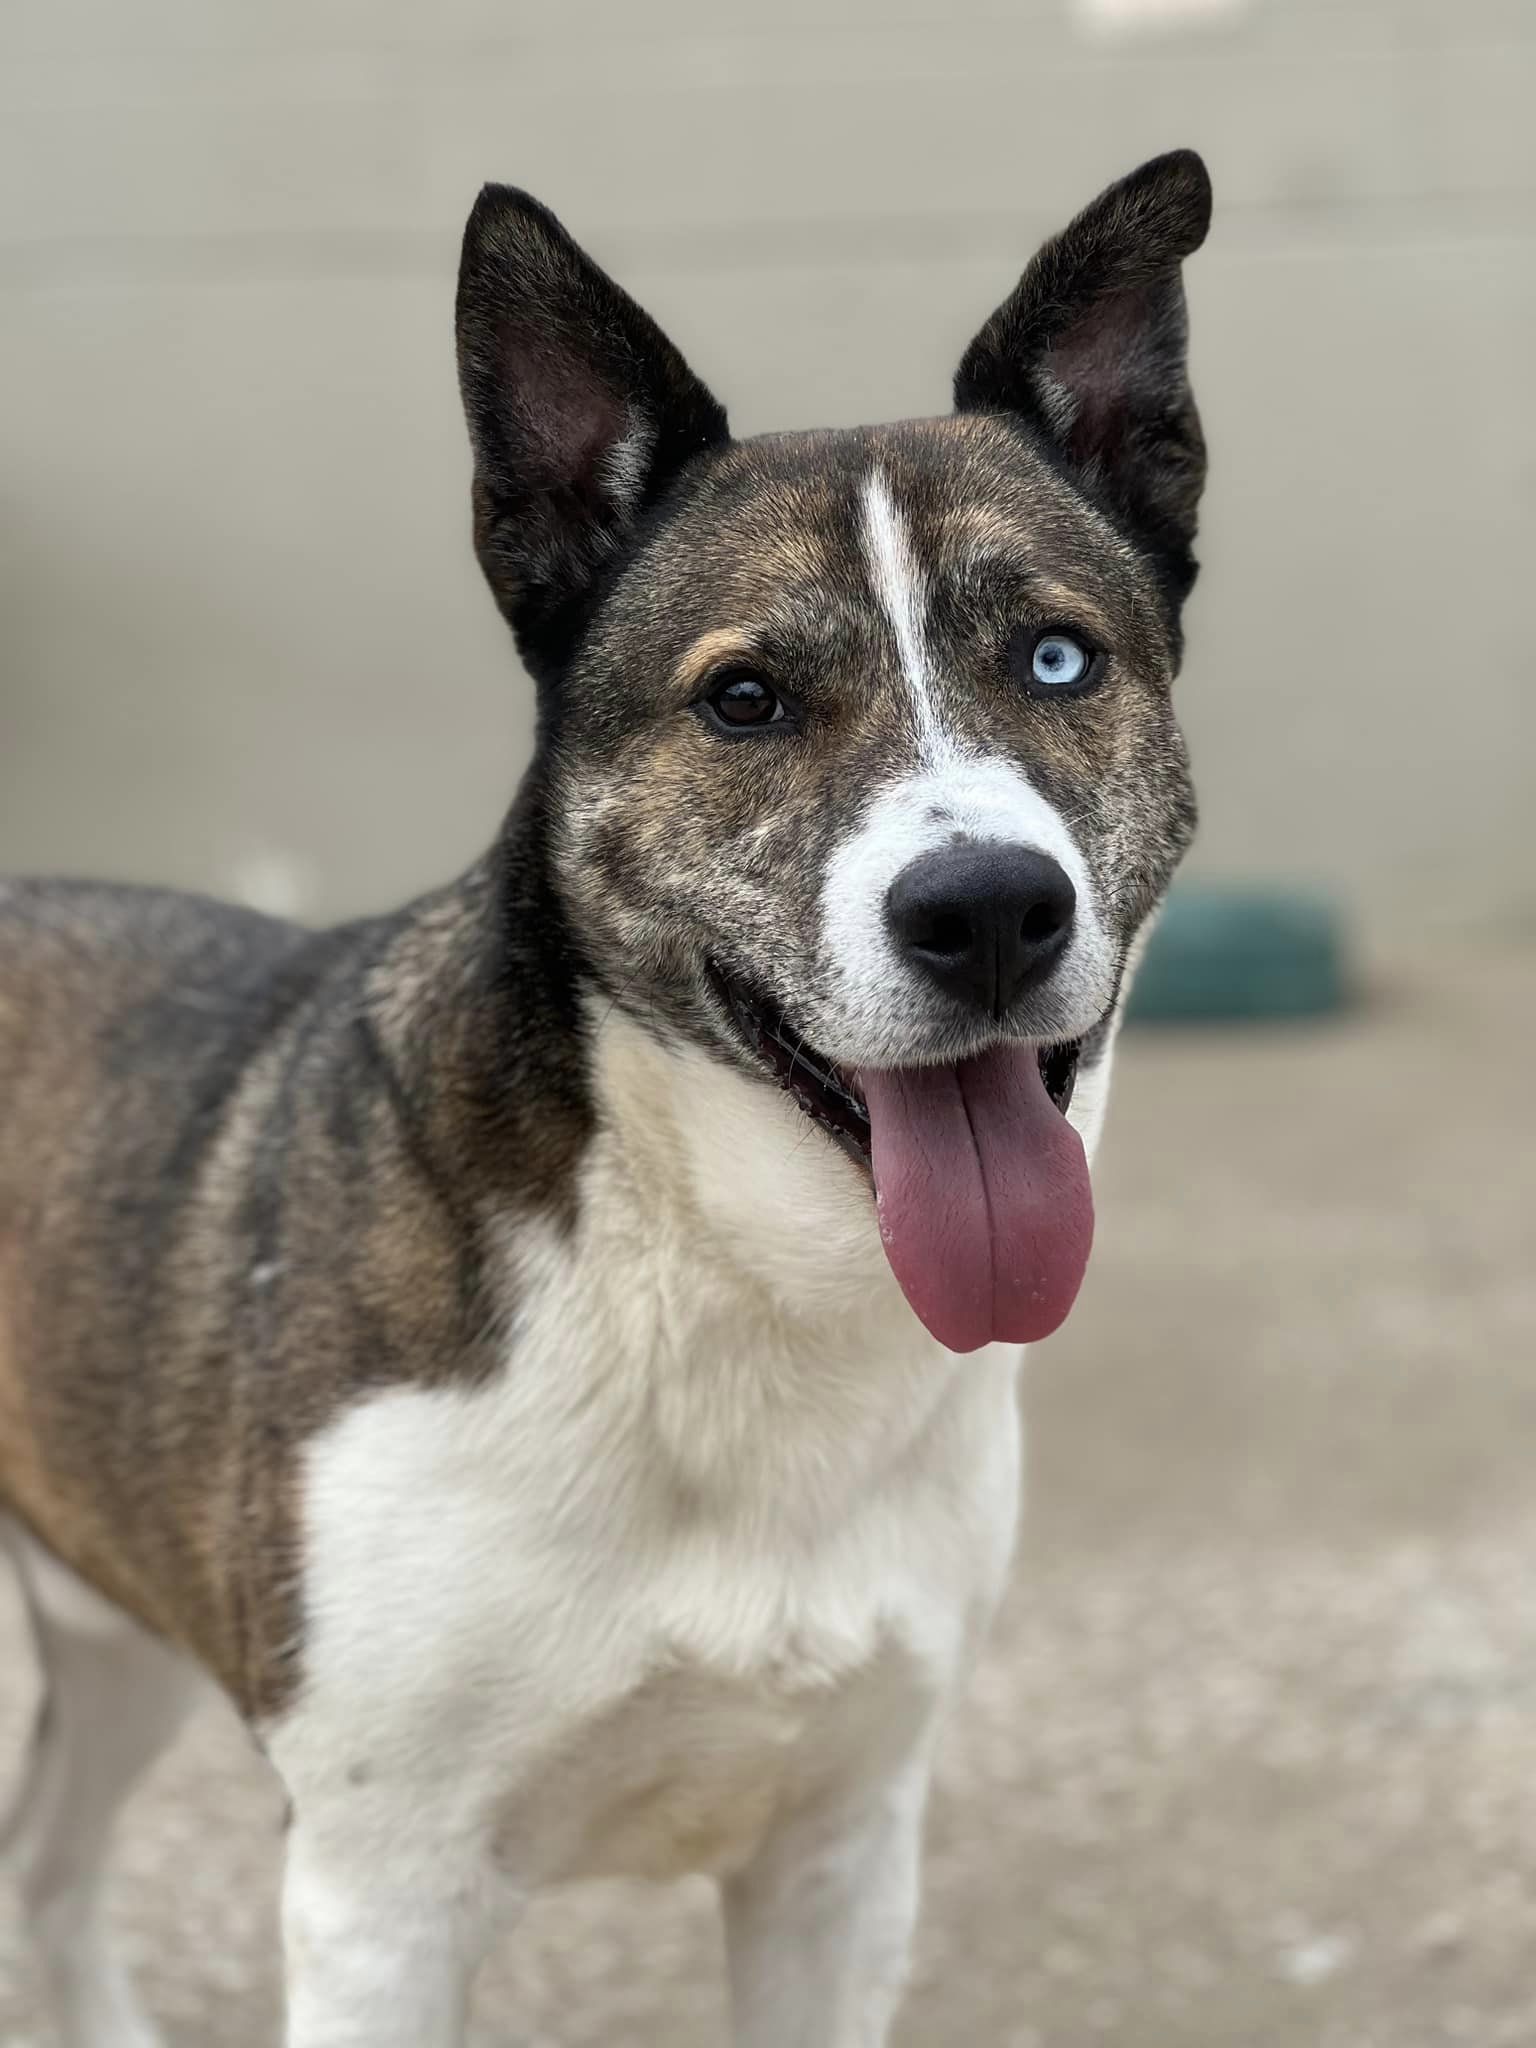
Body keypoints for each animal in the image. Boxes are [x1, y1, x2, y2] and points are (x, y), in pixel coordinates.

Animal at [0, 151, 1212, 2039]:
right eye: (744, 699)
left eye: (1059, 661)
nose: (990, 912)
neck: (712, 1272)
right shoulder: (381, 1898)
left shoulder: (841, 1860)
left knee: (48, 1872)